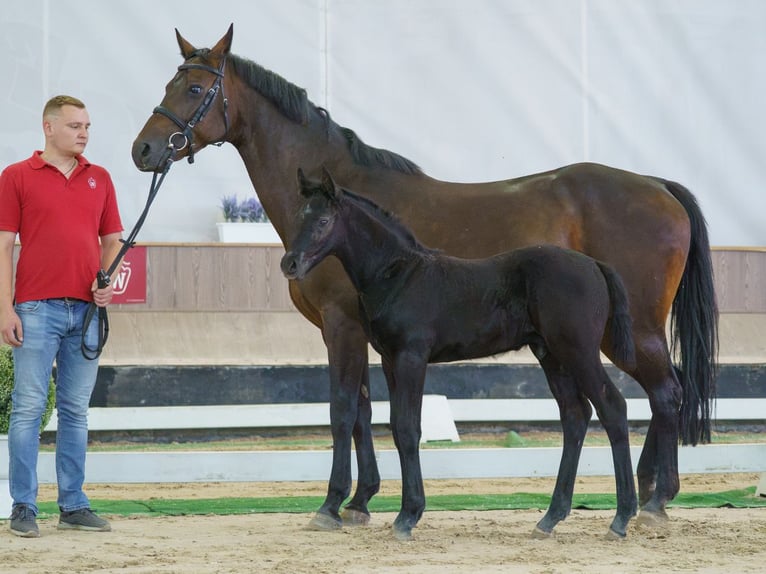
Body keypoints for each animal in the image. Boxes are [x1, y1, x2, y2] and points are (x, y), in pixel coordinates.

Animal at [281, 167, 639, 540]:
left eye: (323, 221)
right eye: (299, 217)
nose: (289, 263)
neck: (399, 275)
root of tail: (596, 265)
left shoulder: (412, 356)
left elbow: (408, 427)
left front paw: (407, 516)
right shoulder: (391, 361)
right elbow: (396, 426)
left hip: (578, 351)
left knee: (612, 408)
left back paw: (621, 518)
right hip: (551, 355)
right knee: (575, 415)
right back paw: (550, 518)